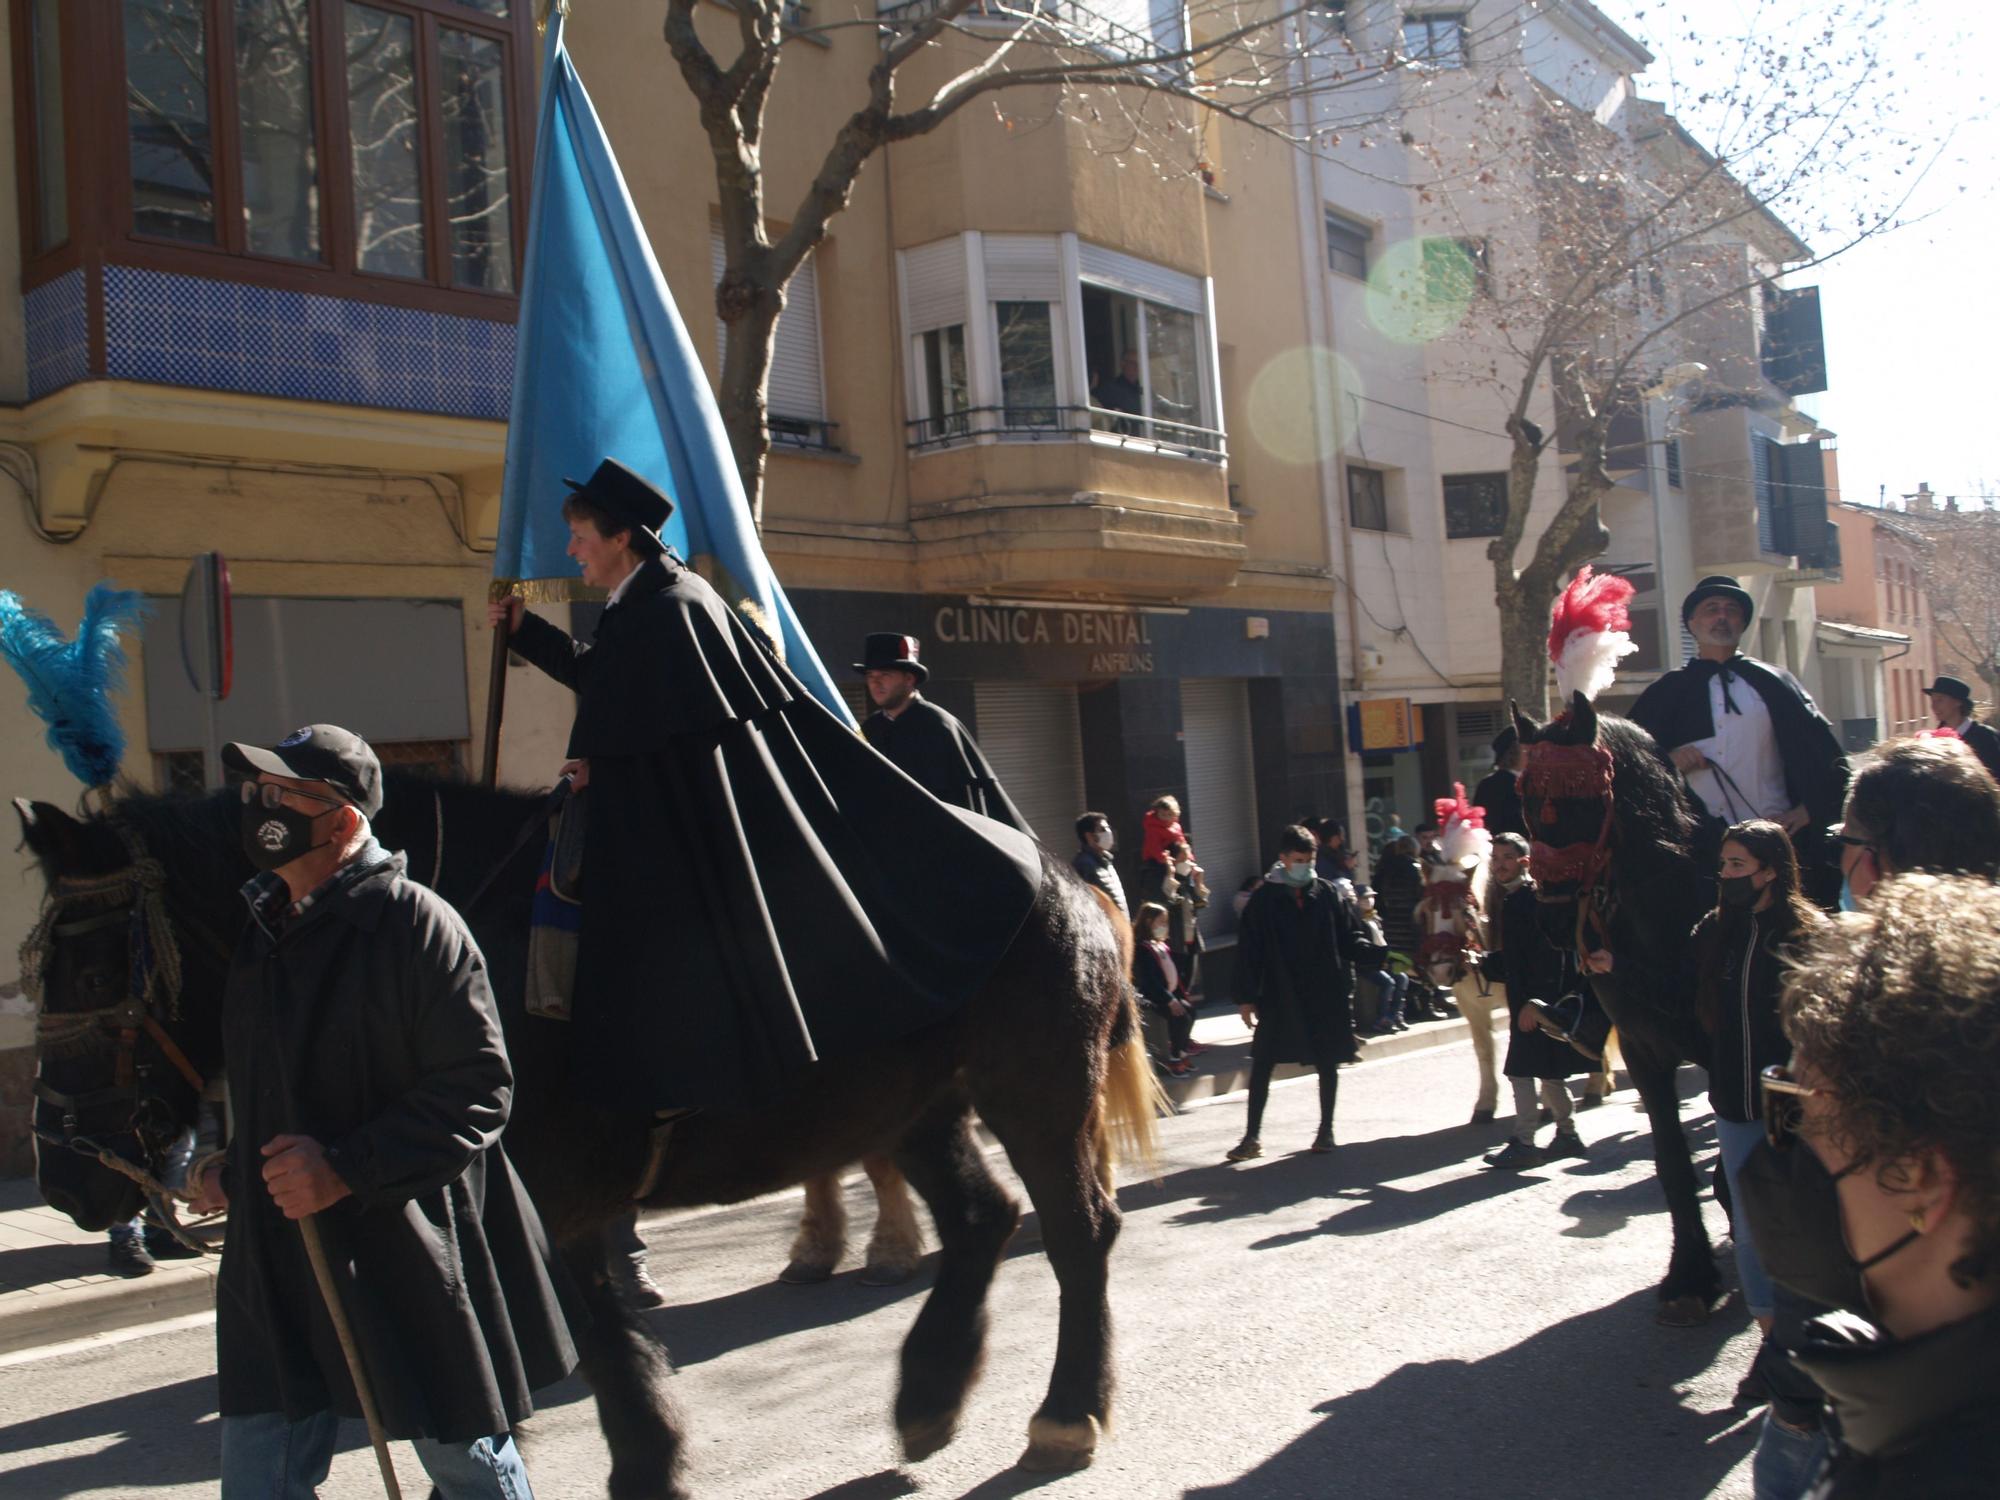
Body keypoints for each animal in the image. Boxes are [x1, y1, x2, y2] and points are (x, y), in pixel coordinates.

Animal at [15, 776, 1160, 1500]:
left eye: (86, 964)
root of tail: (1070, 880)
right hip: (914, 1106)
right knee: (981, 1221)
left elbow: (591, 1333)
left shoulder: (542, 1193)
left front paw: (643, 1462)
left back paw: (1066, 1411)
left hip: (1032, 1091)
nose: (65, 1172)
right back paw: (926, 1394)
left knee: (1075, 1234)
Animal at [1512, 692, 1720, 1328]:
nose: (1551, 921)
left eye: (1585, 801)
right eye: (1528, 804)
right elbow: (1673, 1162)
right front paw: (1690, 1277)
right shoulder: (1644, 1049)